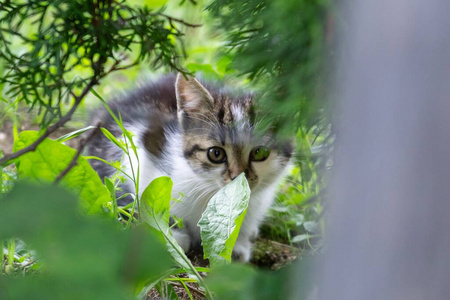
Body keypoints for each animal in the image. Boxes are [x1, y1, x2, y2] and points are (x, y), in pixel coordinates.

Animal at [86, 72, 294, 260]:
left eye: (259, 153)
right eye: (216, 154)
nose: (238, 177)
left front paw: (237, 244)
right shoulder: (139, 142)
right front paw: (173, 235)